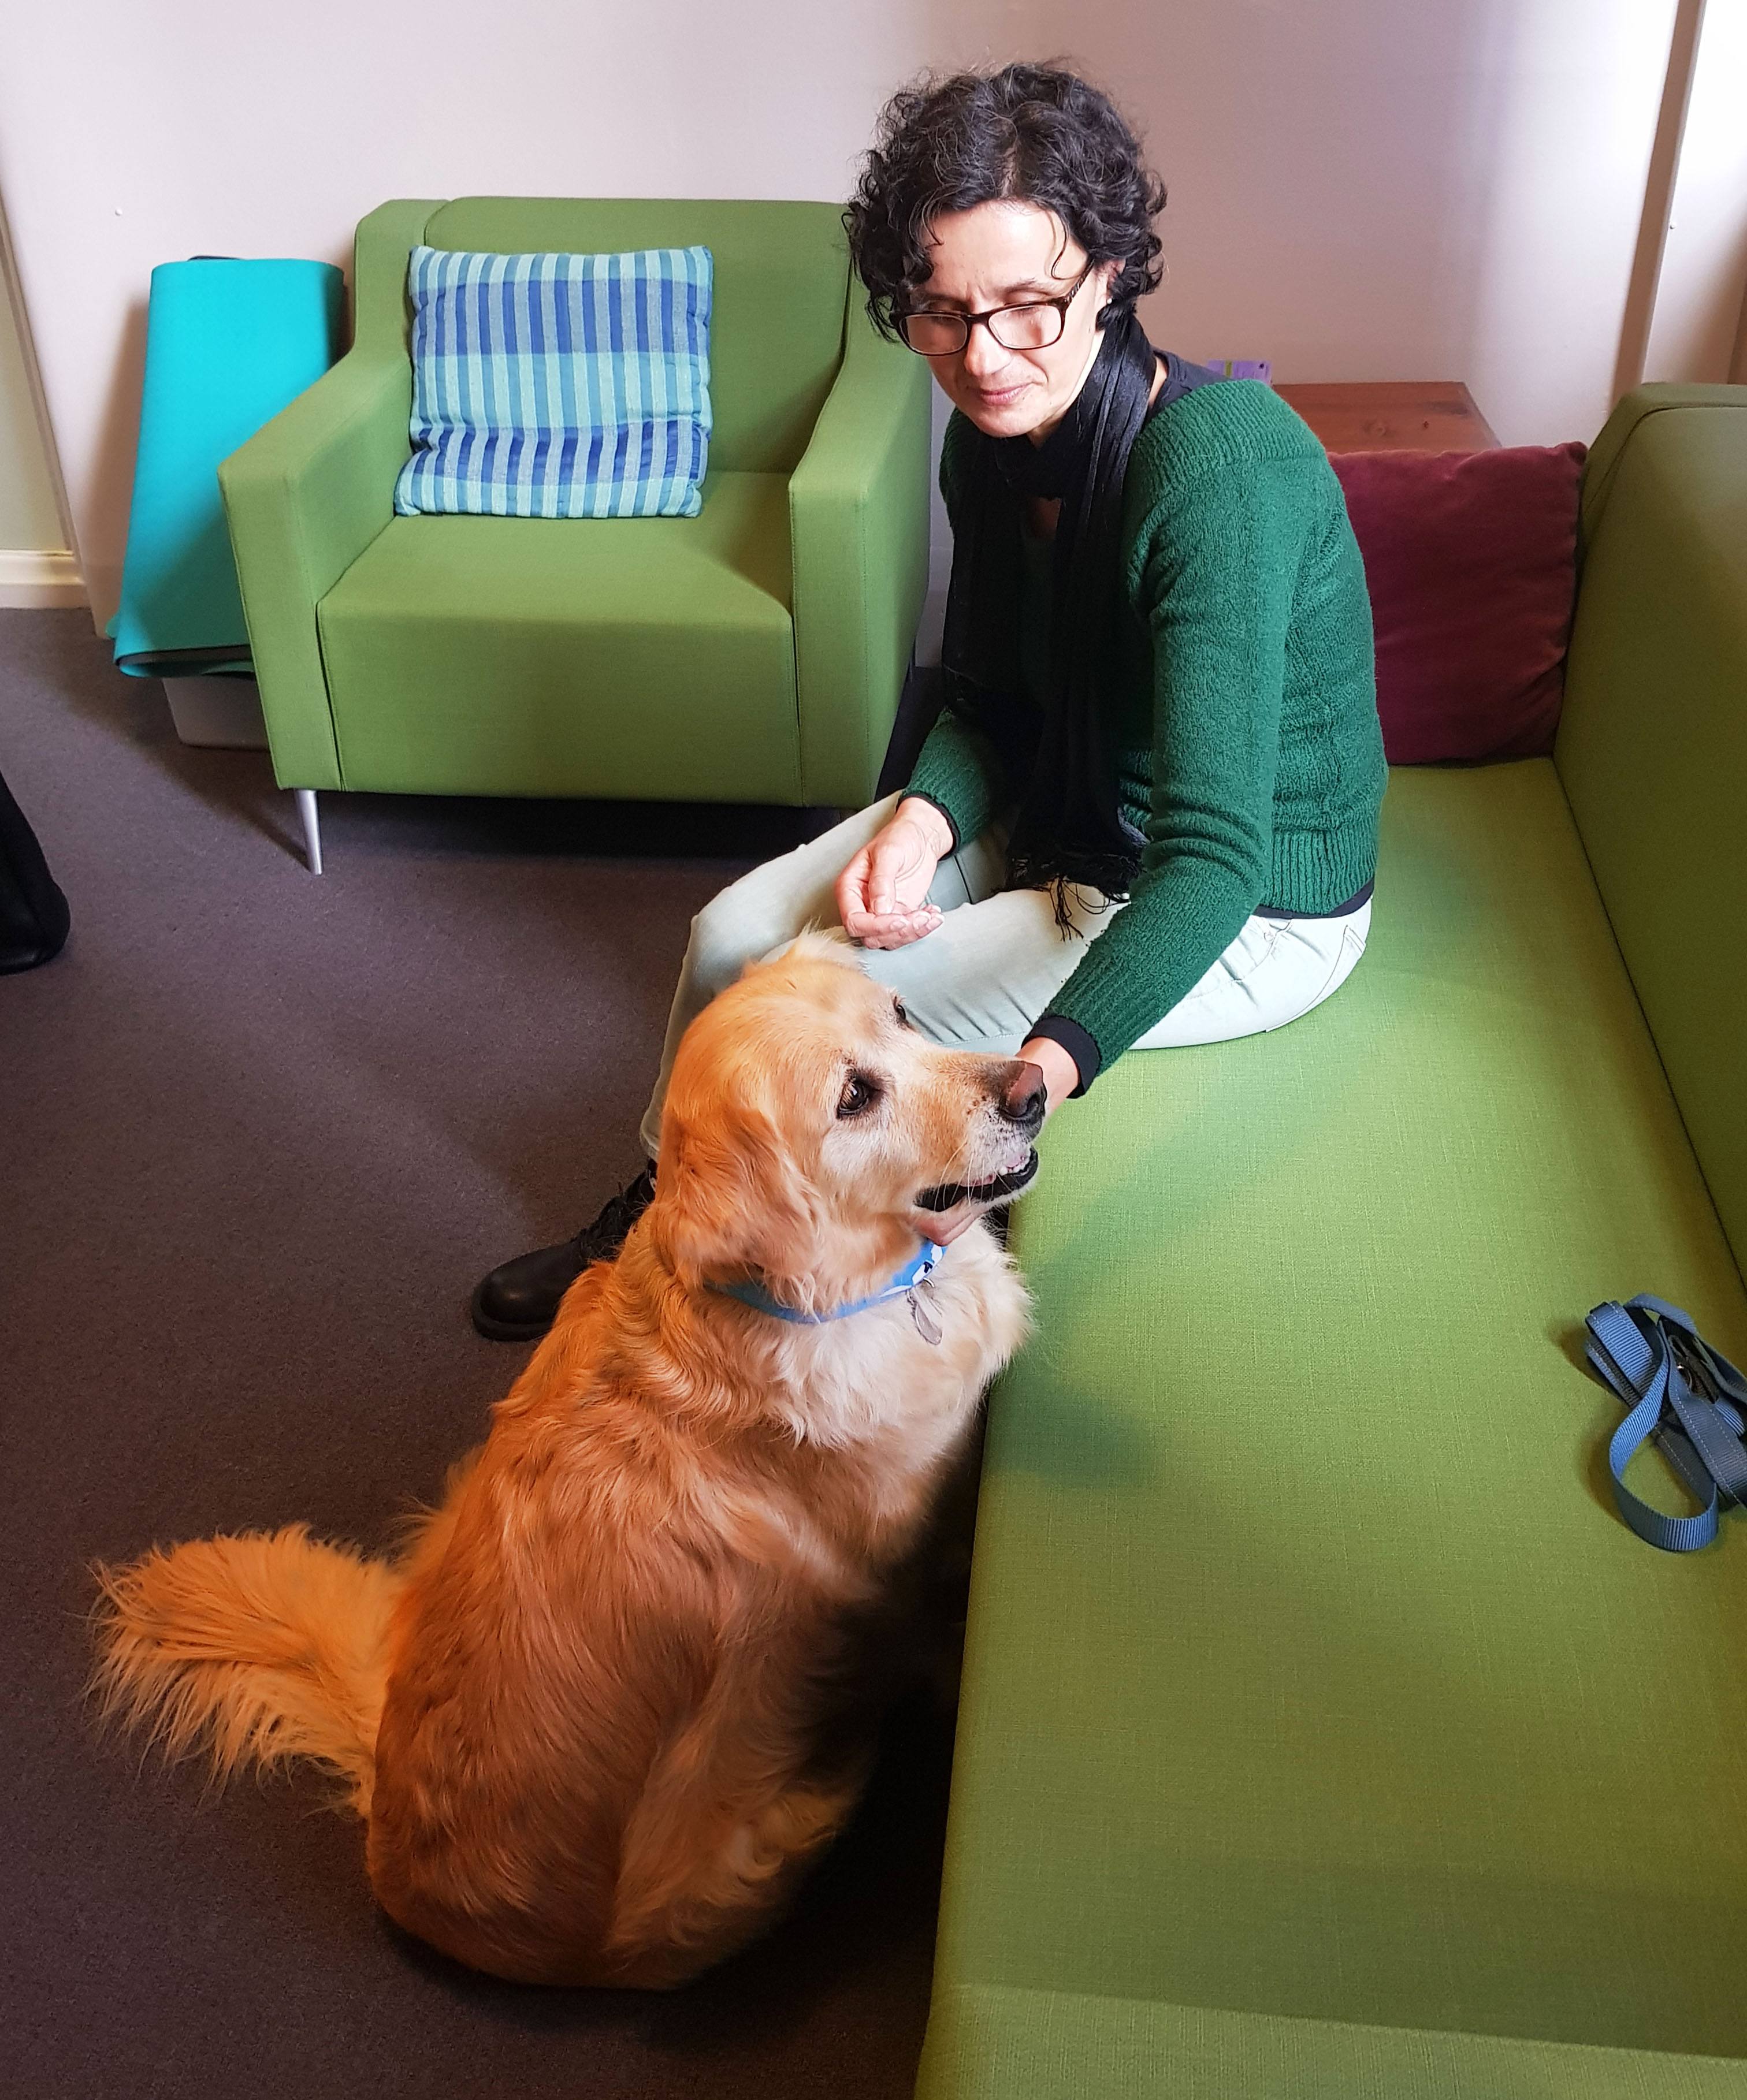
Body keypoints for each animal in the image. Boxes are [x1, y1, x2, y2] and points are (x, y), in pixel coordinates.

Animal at [92, 932, 1037, 1982]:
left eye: (902, 1016)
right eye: (854, 1098)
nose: (1034, 1086)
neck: (826, 1296)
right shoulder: (893, 1576)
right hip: (757, 1840)